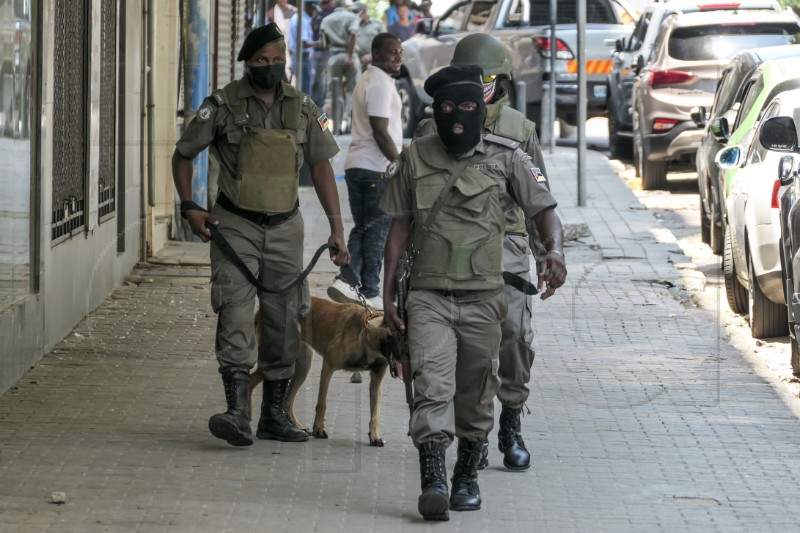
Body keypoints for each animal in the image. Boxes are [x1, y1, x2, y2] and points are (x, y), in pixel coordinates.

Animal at [245, 296, 392, 444]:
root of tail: (261, 312)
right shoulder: (328, 366)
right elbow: (322, 403)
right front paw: (319, 429)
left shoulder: (377, 379)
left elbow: (376, 412)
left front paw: (374, 435)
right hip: (280, 360)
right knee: (252, 380)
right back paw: (248, 414)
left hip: (302, 365)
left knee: (287, 401)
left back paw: (296, 426)